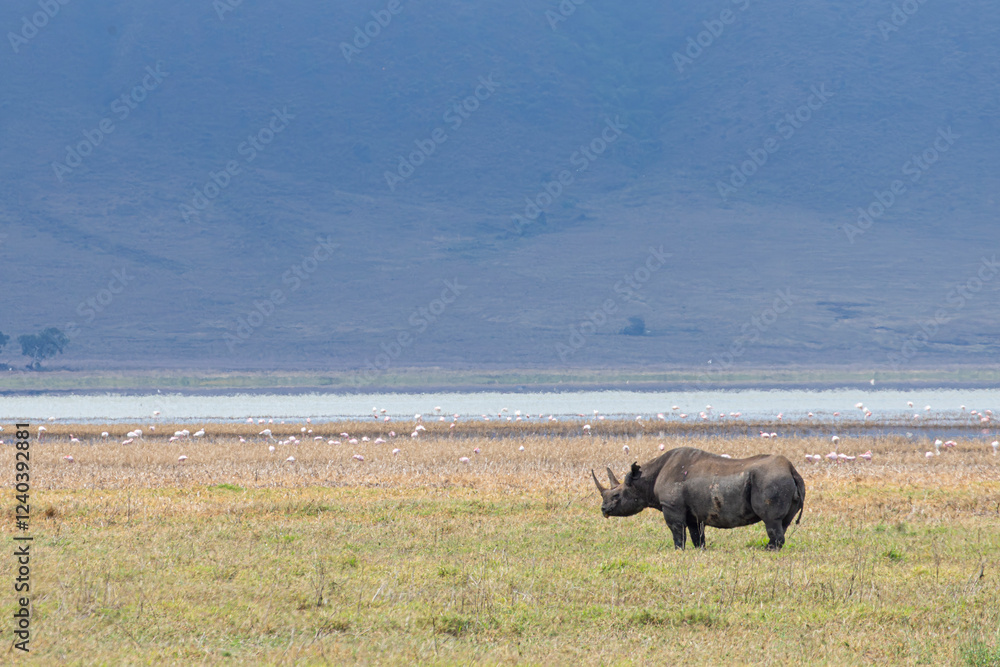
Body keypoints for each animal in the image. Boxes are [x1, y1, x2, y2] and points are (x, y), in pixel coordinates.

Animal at [592, 447, 805, 550]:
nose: (603, 510)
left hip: (771, 480)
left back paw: (768, 550)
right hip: (783, 480)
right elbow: (697, 534)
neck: (645, 480)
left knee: (772, 521)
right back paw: (770, 548)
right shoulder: (693, 512)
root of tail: (791, 470)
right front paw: (699, 550)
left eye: (617, 496)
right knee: (783, 523)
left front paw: (679, 551)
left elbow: (677, 531)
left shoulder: (671, 506)